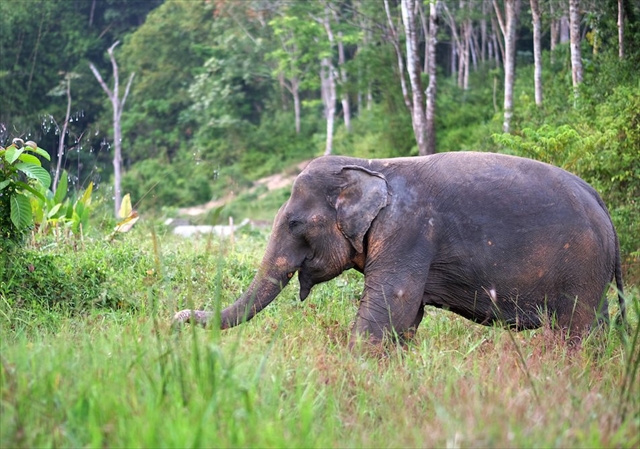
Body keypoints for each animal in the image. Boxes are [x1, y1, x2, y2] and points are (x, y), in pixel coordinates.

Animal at [171, 152, 624, 344]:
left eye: (295, 223)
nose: (176, 320)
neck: (373, 166)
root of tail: (600, 201)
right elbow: (407, 317)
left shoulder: (409, 232)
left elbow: (389, 308)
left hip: (581, 267)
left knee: (575, 329)